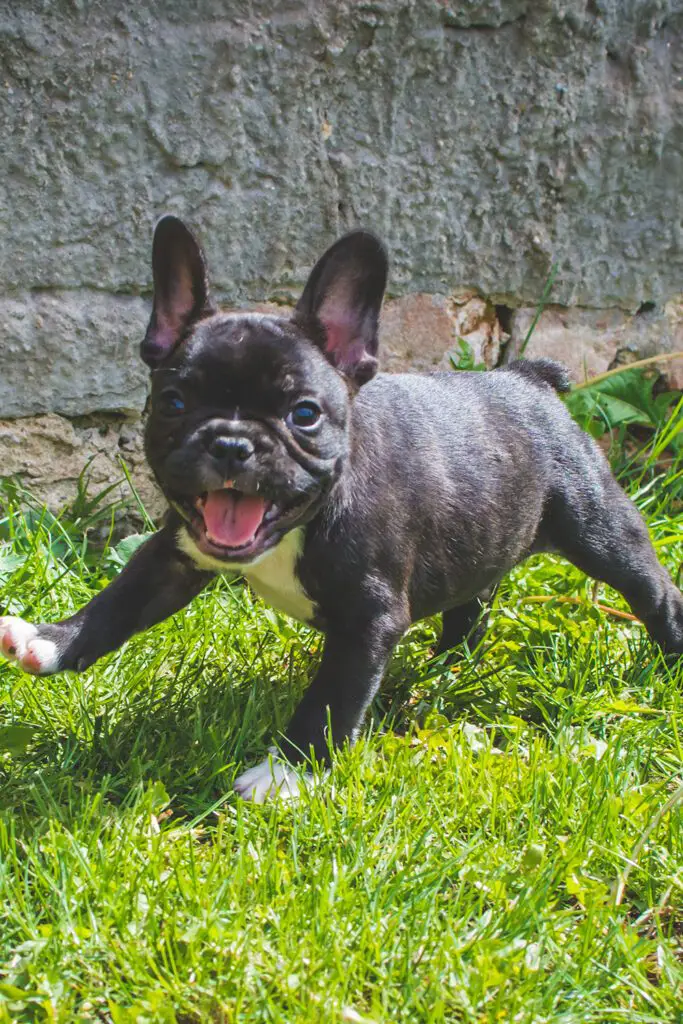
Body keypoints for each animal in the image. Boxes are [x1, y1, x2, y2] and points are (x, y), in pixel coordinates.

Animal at [1, 218, 683, 798]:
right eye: (173, 403)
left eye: (304, 413)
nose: (231, 442)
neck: (298, 527)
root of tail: (526, 377)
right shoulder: (175, 554)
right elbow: (119, 601)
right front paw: (50, 640)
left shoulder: (368, 618)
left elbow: (330, 698)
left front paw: (286, 774)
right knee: (473, 601)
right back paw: (445, 670)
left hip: (595, 526)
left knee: (651, 589)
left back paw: (670, 660)